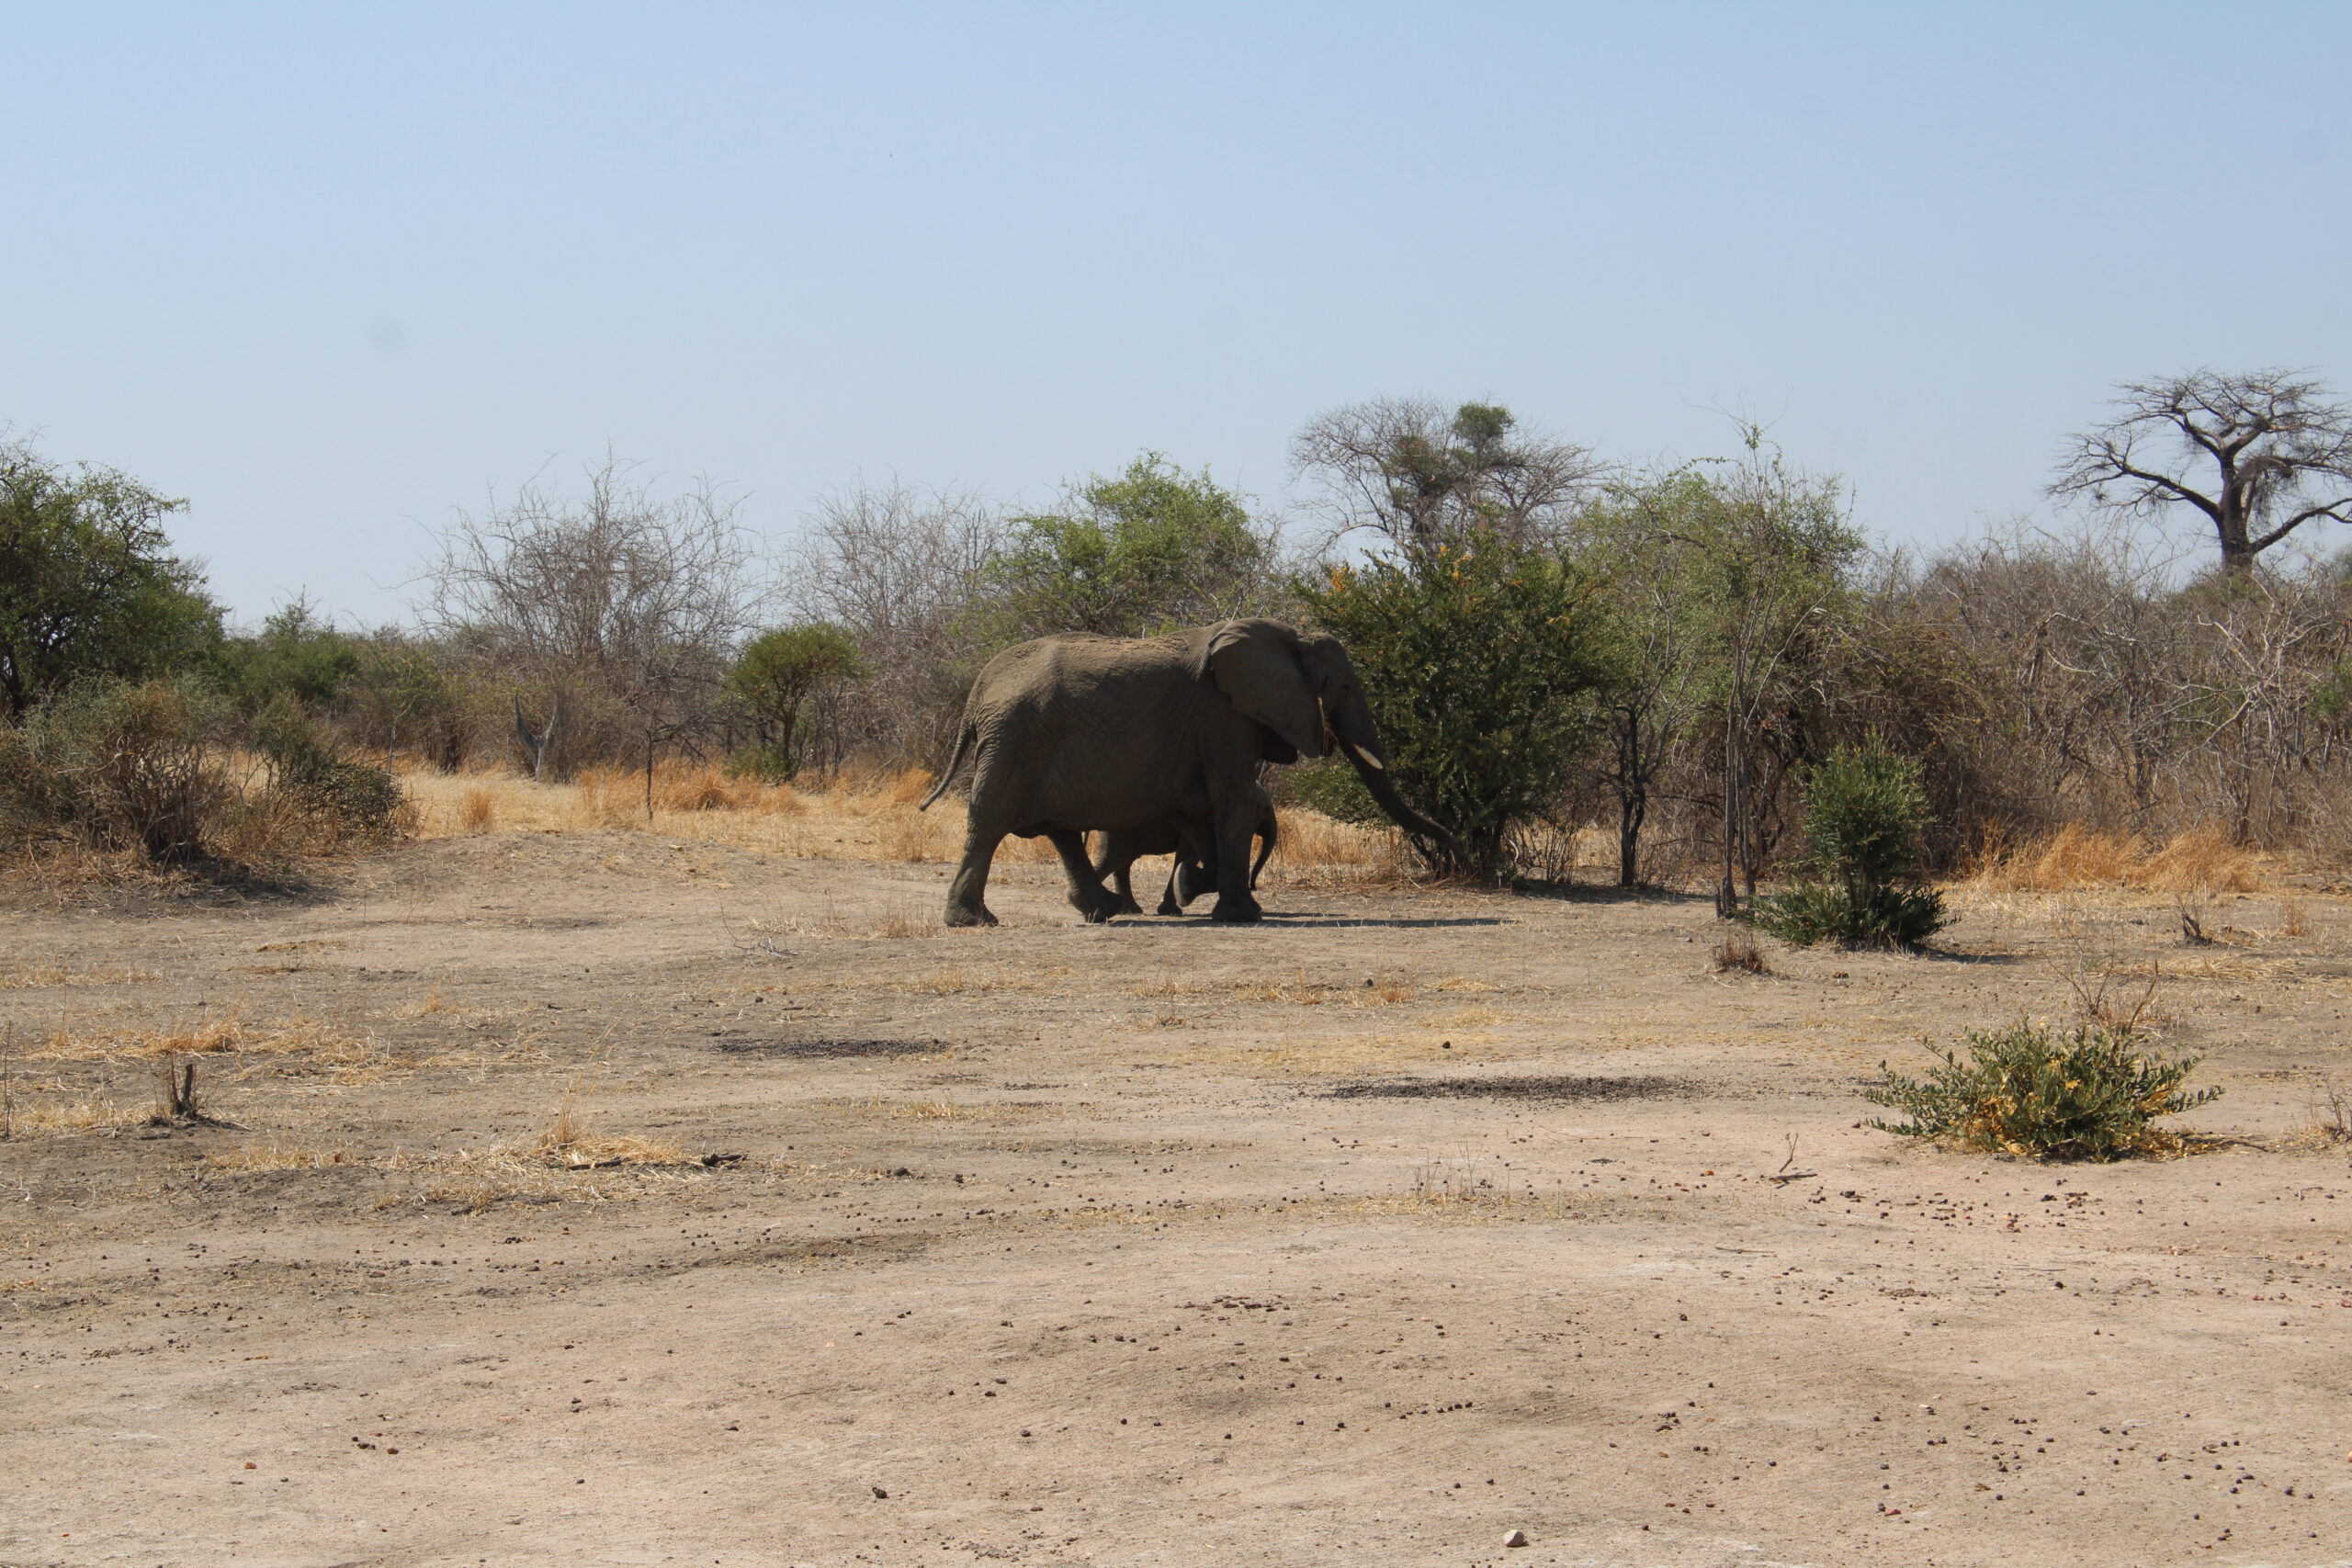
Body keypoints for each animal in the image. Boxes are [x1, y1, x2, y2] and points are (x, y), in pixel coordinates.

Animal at [1094, 787, 1277, 916]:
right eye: (1266, 809)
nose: (1253, 887)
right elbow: (1189, 855)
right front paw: (1172, 911)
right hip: (1121, 832)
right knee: (1114, 860)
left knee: (1121, 863)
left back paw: (1128, 910)